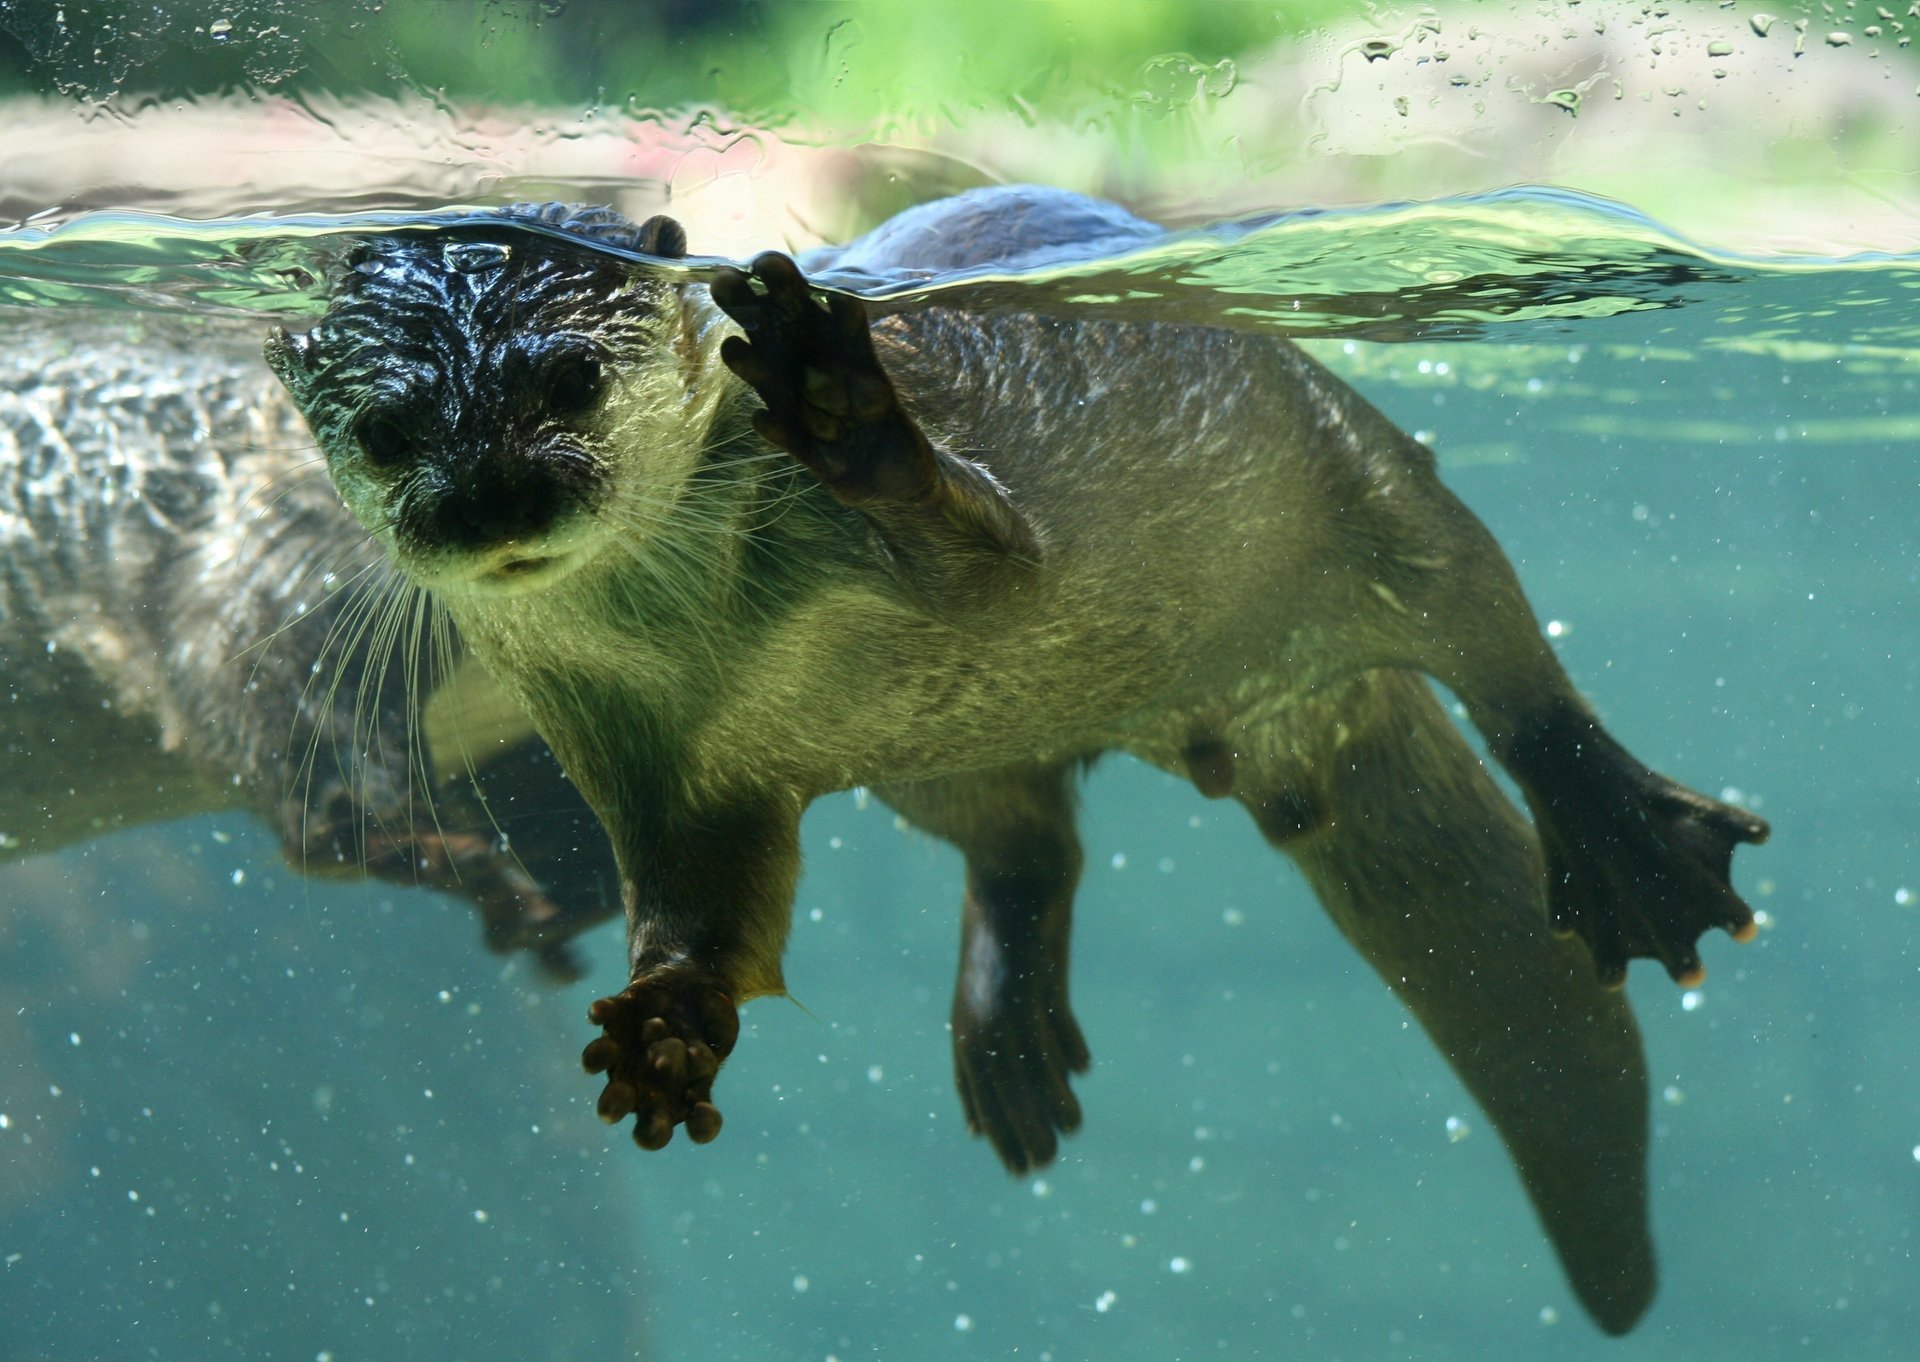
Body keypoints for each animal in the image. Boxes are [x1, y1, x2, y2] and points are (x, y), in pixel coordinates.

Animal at [270, 187, 1769, 1334]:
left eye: (567, 378)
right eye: (389, 432)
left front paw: (841, 403)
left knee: (1503, 651)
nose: (490, 501)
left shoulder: (946, 531)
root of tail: (1282, 712)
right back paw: (1009, 1035)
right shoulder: (630, 748)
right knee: (1026, 834)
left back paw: (1628, 843)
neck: (698, 632)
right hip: (939, 760)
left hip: (1355, 476)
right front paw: (665, 1027)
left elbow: (994, 556)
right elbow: (703, 902)